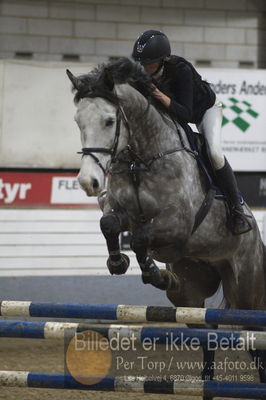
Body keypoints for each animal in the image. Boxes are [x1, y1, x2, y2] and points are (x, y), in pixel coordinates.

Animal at [67, 57, 266, 396]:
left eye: (109, 121)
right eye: (78, 121)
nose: (88, 182)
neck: (142, 156)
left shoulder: (178, 222)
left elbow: (140, 238)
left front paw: (151, 271)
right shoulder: (121, 210)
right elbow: (110, 224)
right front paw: (119, 263)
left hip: (245, 293)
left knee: (253, 338)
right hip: (188, 294)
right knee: (208, 332)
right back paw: (206, 382)